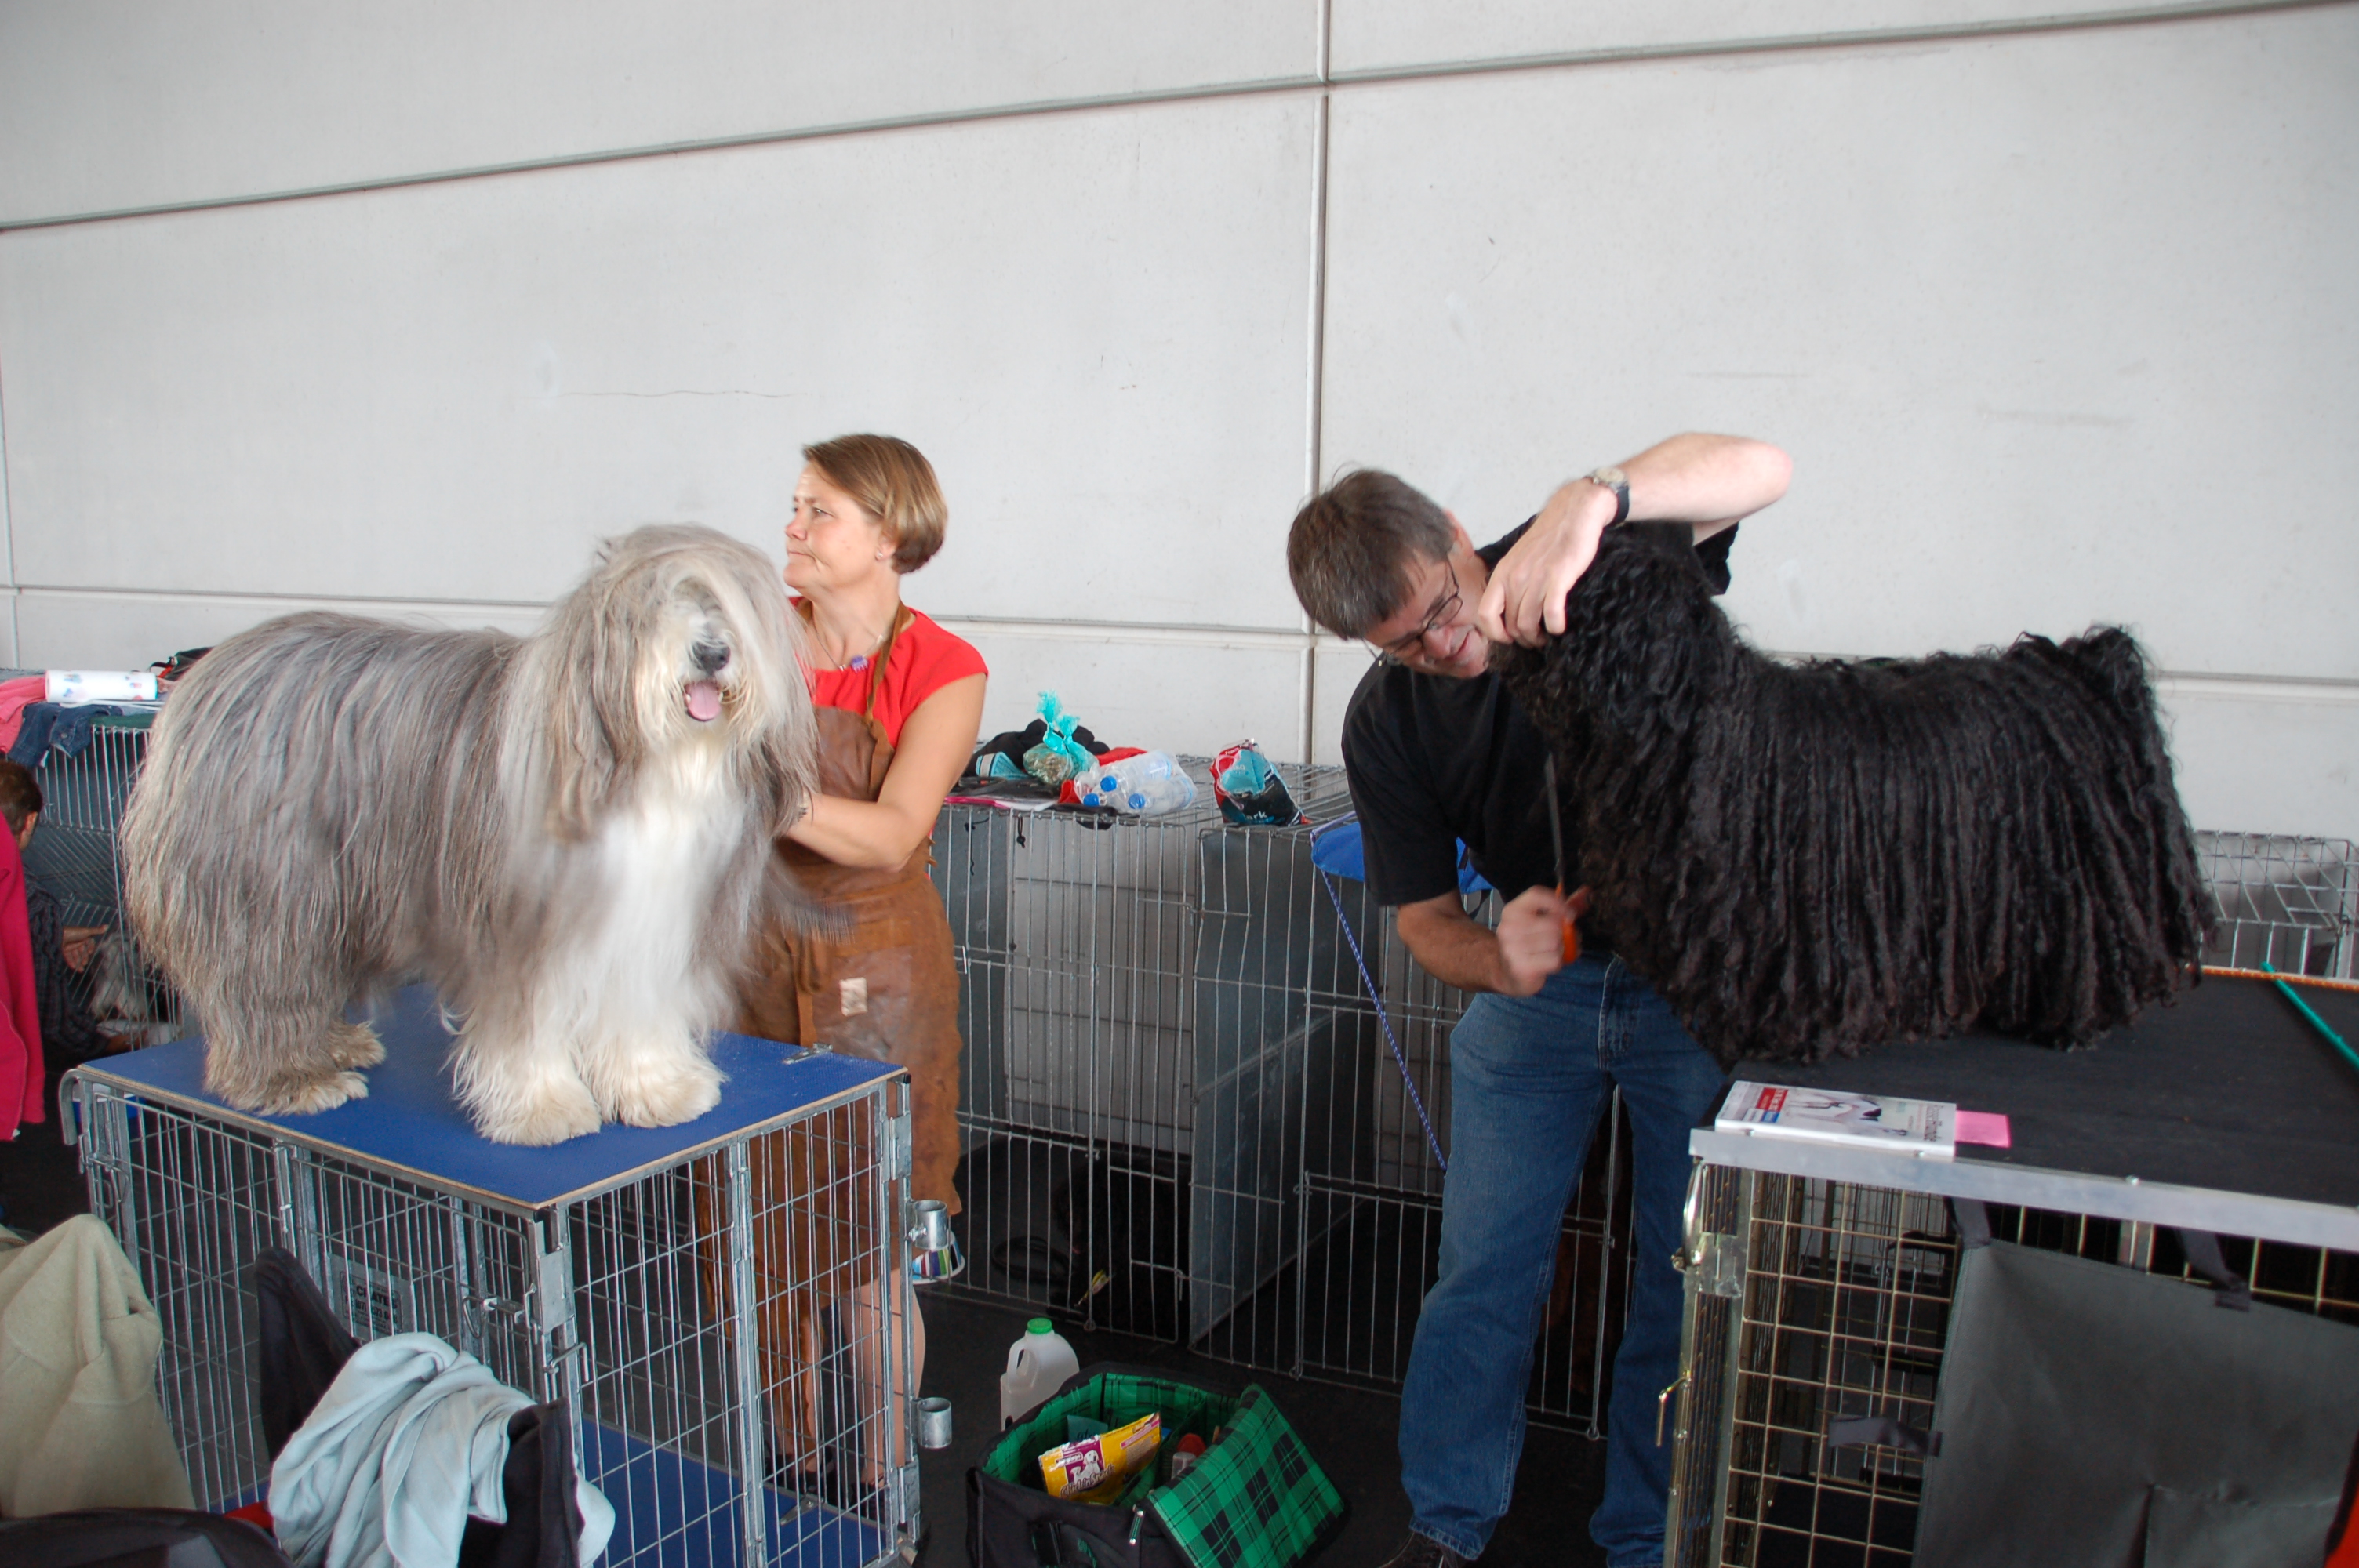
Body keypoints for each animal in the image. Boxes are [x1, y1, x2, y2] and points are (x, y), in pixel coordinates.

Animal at [122, 523, 819, 1143]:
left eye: (732, 604)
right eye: (654, 602)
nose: (712, 652)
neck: (649, 761)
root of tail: (208, 673)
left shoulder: (651, 920)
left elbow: (634, 1009)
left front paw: (655, 1089)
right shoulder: (516, 932)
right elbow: (525, 1026)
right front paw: (543, 1110)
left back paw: (339, 1043)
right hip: (267, 885)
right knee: (261, 981)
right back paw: (294, 1077)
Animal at [1493, 523, 2213, 1065]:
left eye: (1566, 577)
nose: (1501, 568)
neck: (1696, 728)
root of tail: (2088, 668)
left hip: (2083, 883)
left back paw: (2073, 1022)